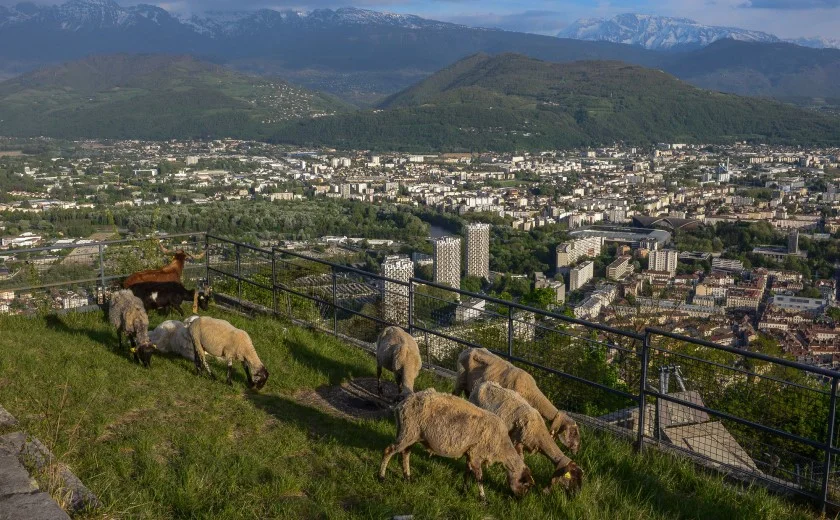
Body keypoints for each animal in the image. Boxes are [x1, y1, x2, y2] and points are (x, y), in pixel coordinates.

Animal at [378, 388, 536, 502]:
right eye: (527, 486)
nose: (519, 501)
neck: (502, 446)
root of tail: (402, 404)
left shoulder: (470, 454)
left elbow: (467, 473)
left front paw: (464, 491)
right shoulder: (477, 455)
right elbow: (480, 478)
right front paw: (483, 499)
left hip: (413, 435)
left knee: (405, 454)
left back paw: (407, 478)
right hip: (408, 432)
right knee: (389, 450)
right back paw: (381, 477)